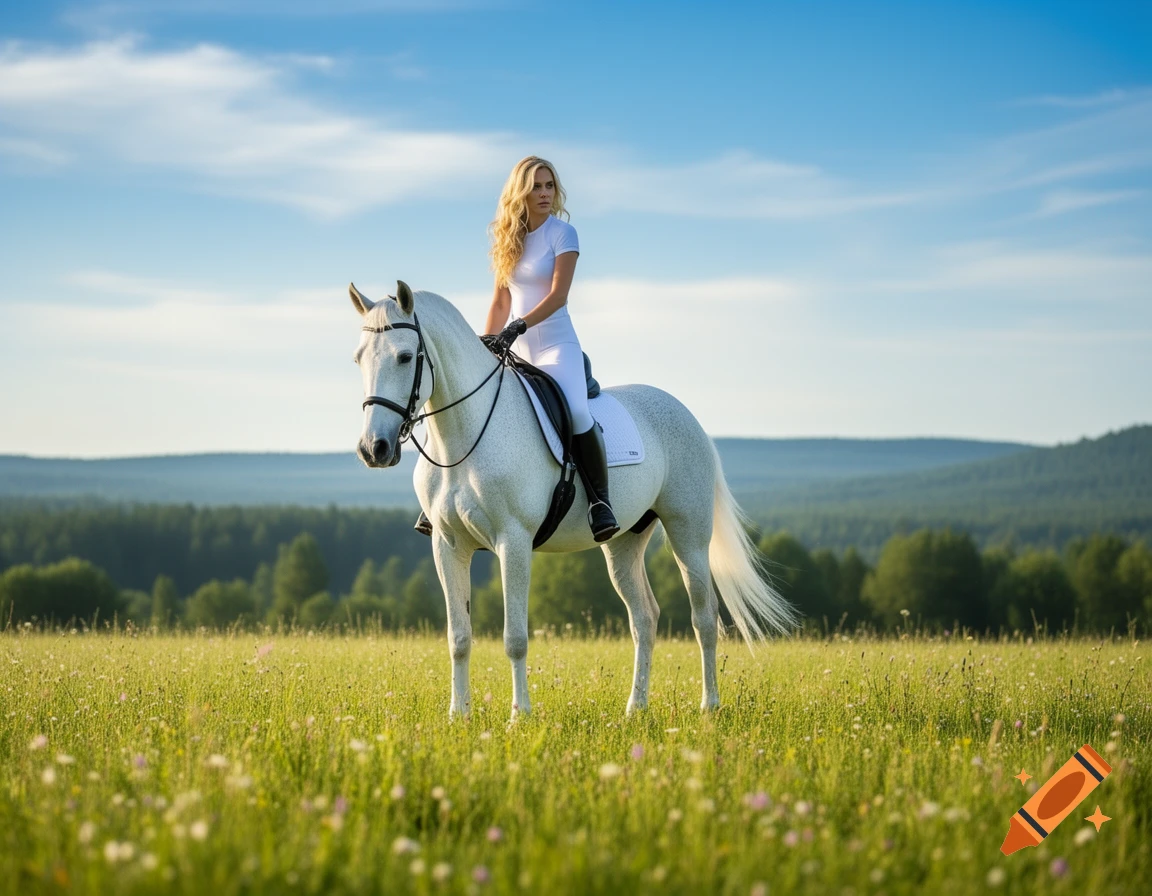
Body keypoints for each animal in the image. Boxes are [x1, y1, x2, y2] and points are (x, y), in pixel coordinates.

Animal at [350, 280, 796, 720]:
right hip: (624, 543)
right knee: (644, 618)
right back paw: (635, 708)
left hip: (689, 534)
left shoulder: (513, 543)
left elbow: (515, 638)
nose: (374, 449)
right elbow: (458, 636)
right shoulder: (448, 545)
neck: (464, 433)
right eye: (358, 359)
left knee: (704, 618)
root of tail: (687, 415)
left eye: (405, 356)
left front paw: (519, 716)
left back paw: (709, 707)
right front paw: (458, 717)